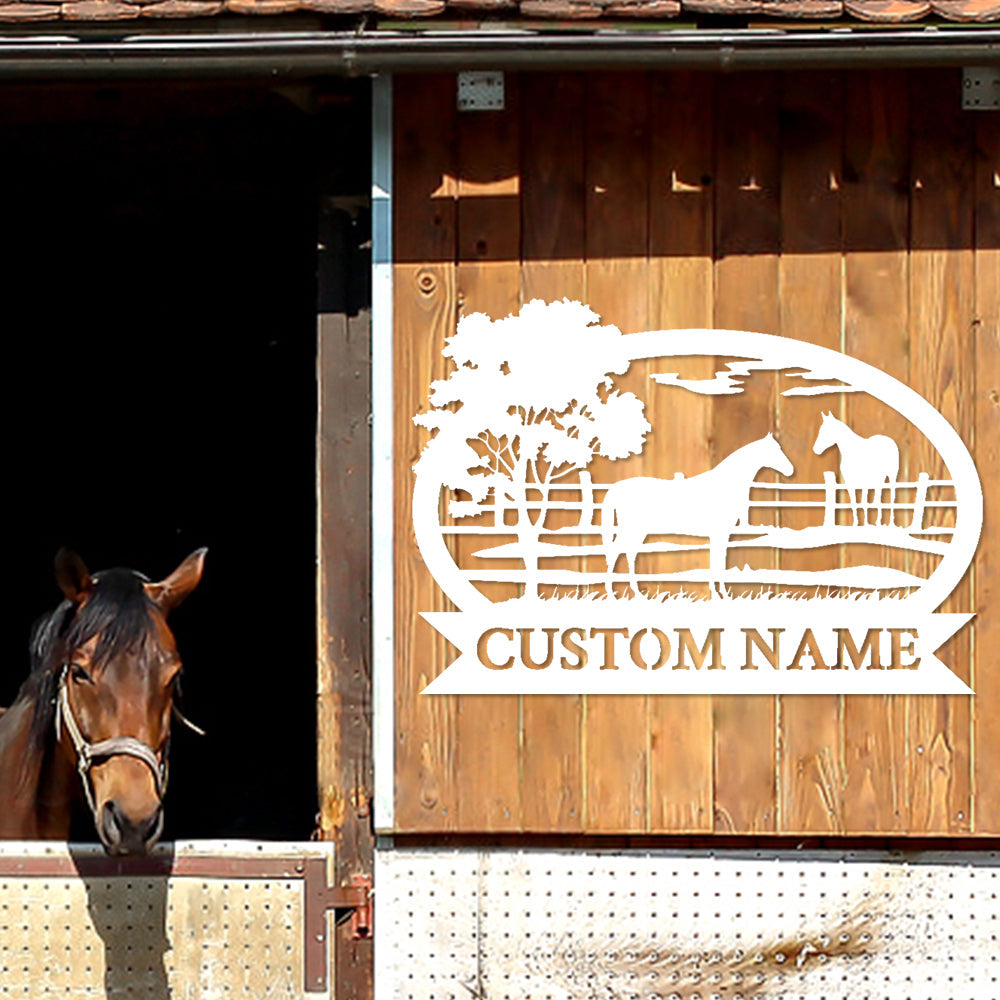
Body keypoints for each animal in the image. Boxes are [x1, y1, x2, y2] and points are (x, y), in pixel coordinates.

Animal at [602, 433, 793, 598]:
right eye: (775, 450)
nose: (791, 470)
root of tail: (615, 489)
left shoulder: (720, 535)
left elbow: (718, 562)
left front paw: (719, 593)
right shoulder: (719, 534)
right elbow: (718, 563)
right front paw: (720, 593)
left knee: (628, 554)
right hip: (632, 530)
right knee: (616, 552)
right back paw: (613, 593)